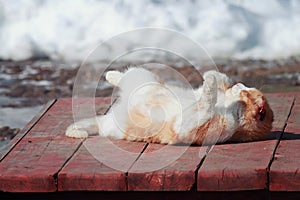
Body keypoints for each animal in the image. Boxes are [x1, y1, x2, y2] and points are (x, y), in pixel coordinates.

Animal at [66, 67, 274, 145]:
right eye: (246, 87)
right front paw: (214, 77)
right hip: (146, 77)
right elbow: (218, 79)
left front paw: (211, 83)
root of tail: (105, 119)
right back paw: (110, 74)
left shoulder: (189, 124)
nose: (240, 84)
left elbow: (206, 102)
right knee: (126, 75)